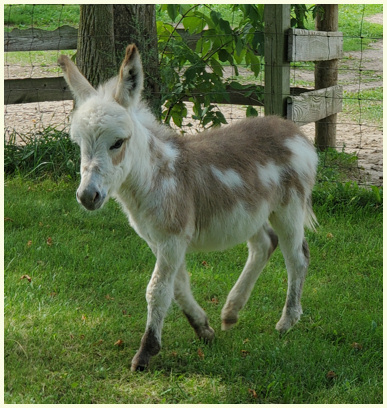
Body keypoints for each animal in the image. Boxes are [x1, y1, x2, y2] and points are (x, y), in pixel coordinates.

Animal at [58, 43, 318, 372]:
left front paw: (146, 352)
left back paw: (286, 322)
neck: (155, 176)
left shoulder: (171, 238)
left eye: (117, 142)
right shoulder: (159, 240)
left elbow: (157, 290)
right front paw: (203, 328)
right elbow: (178, 286)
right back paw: (231, 312)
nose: (87, 196)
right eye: (79, 144)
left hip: (288, 209)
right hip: (251, 213)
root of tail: (291, 129)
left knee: (297, 257)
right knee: (264, 245)